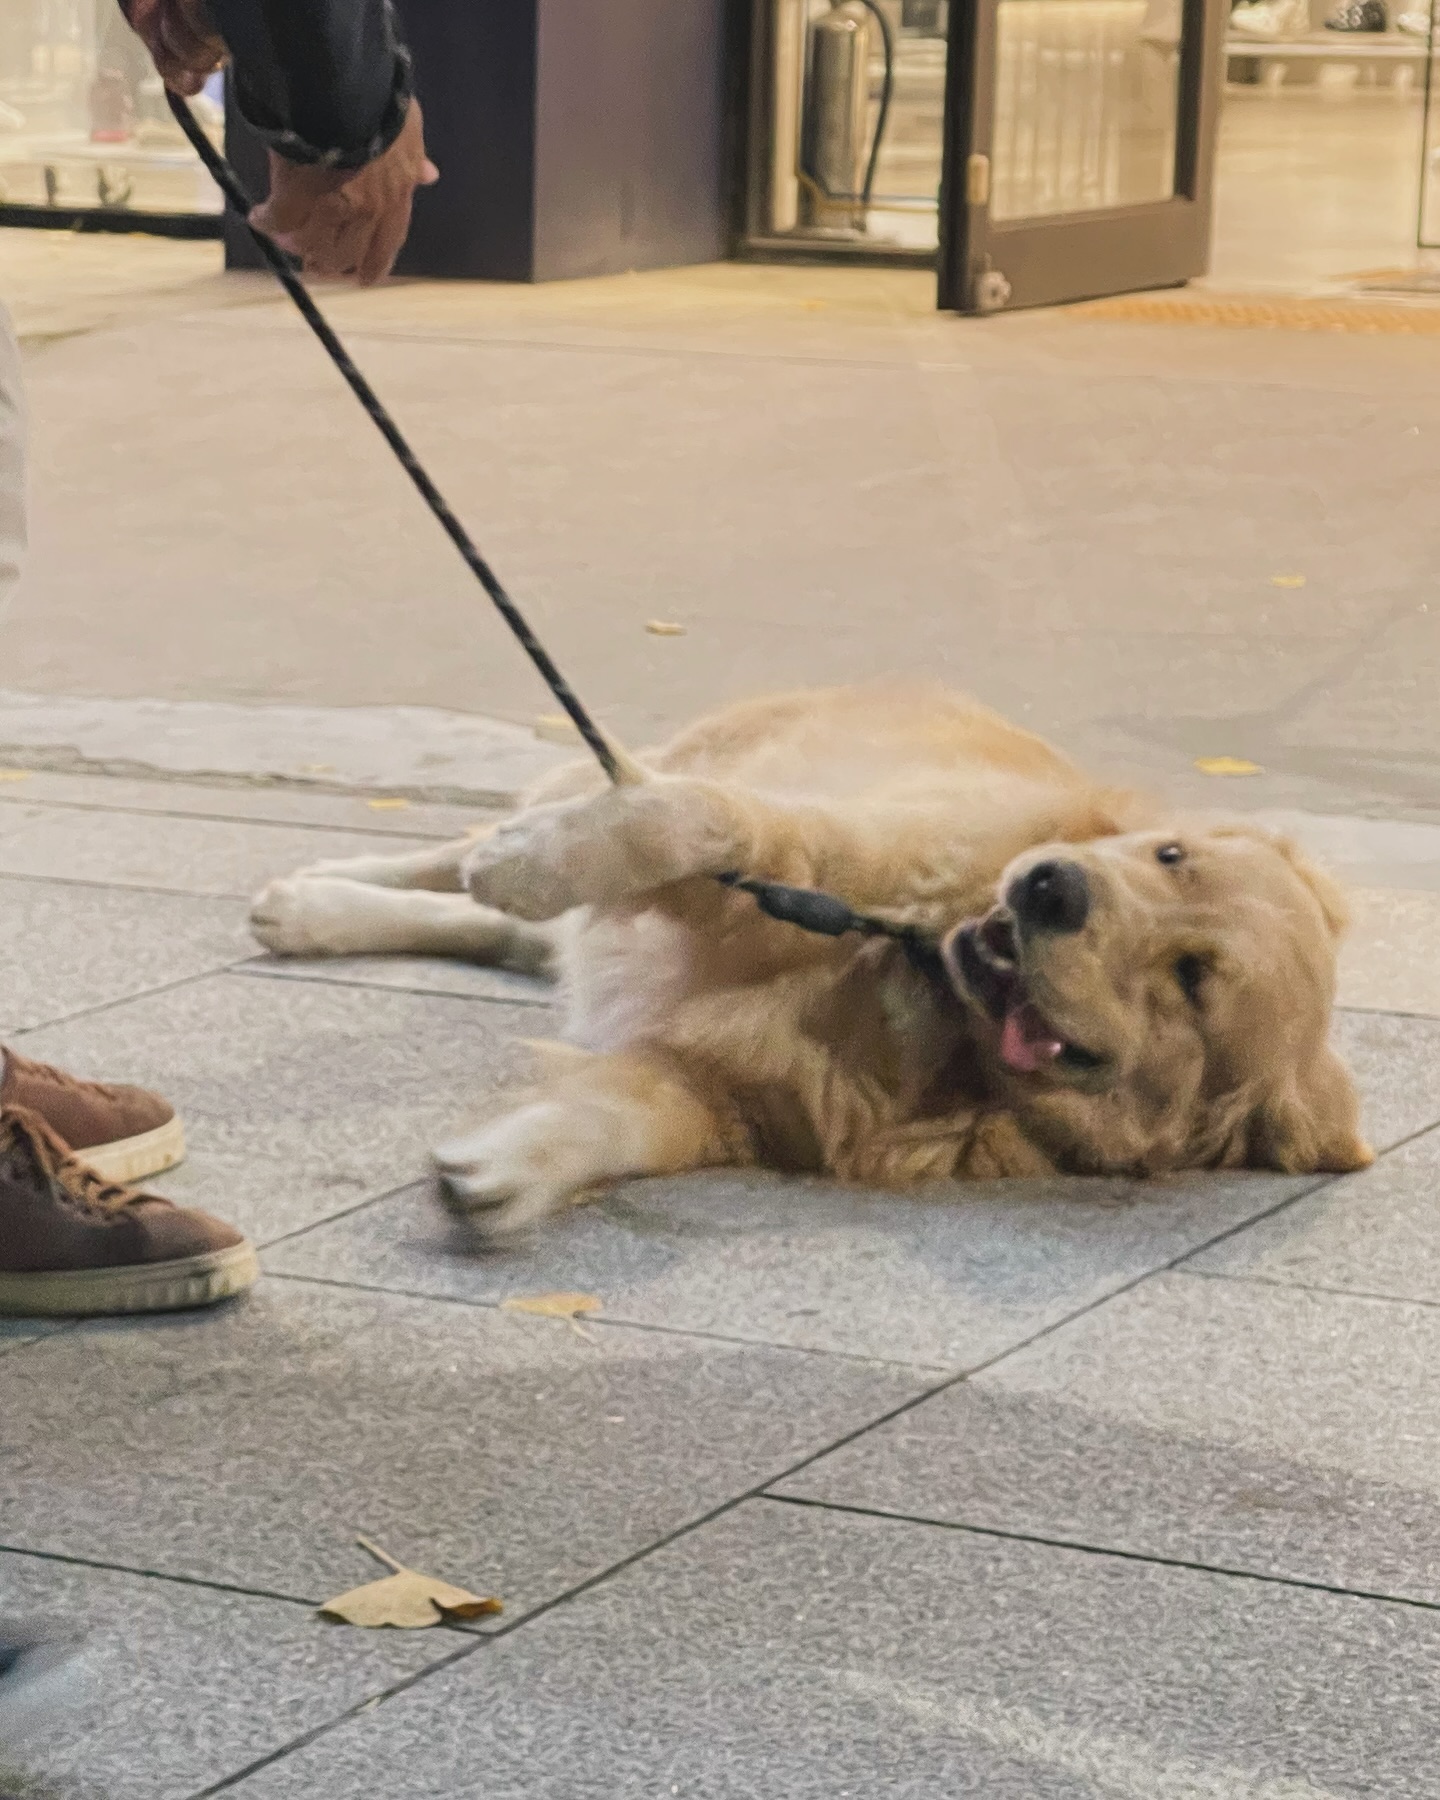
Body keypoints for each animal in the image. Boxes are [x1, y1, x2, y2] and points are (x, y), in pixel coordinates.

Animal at [250, 676, 1375, 1238]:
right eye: (1167, 854)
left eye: (1193, 978)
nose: (1052, 888)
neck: (922, 996)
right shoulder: (817, 844)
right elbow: (692, 822)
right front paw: (536, 860)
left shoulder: (729, 1093)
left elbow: (624, 1118)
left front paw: (508, 1171)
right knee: (474, 852)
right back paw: (335, 885)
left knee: (510, 935)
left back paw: (318, 911)